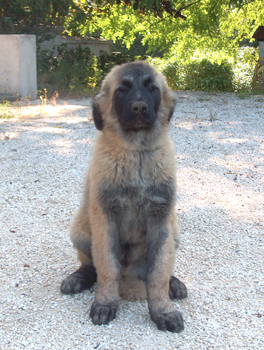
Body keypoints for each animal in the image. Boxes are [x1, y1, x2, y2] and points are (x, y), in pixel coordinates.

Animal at [60, 61, 187, 332]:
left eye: (151, 88)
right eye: (122, 89)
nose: (139, 107)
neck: (135, 153)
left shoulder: (161, 218)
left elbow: (159, 272)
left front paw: (163, 310)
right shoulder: (105, 217)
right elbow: (107, 267)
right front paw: (105, 304)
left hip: (174, 231)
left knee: (162, 266)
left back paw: (174, 283)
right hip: (79, 230)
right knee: (91, 265)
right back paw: (79, 278)